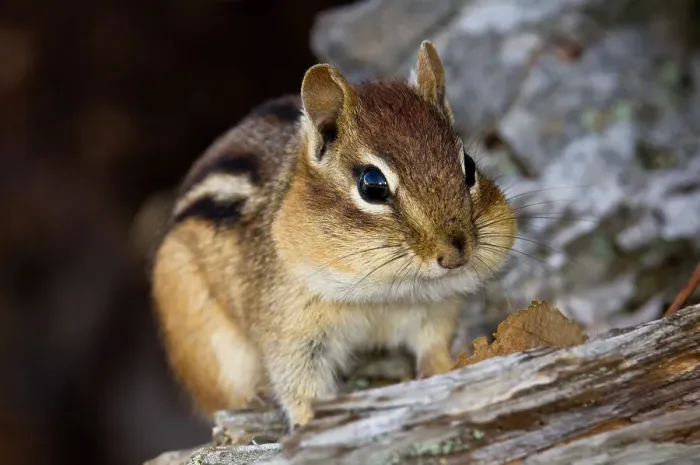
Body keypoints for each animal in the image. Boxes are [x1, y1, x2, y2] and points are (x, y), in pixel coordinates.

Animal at [151, 41, 516, 430]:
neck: (384, 294)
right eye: (373, 186)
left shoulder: (434, 310)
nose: (456, 254)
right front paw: (309, 423)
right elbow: (299, 386)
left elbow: (435, 347)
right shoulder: (290, 329)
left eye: (469, 166)